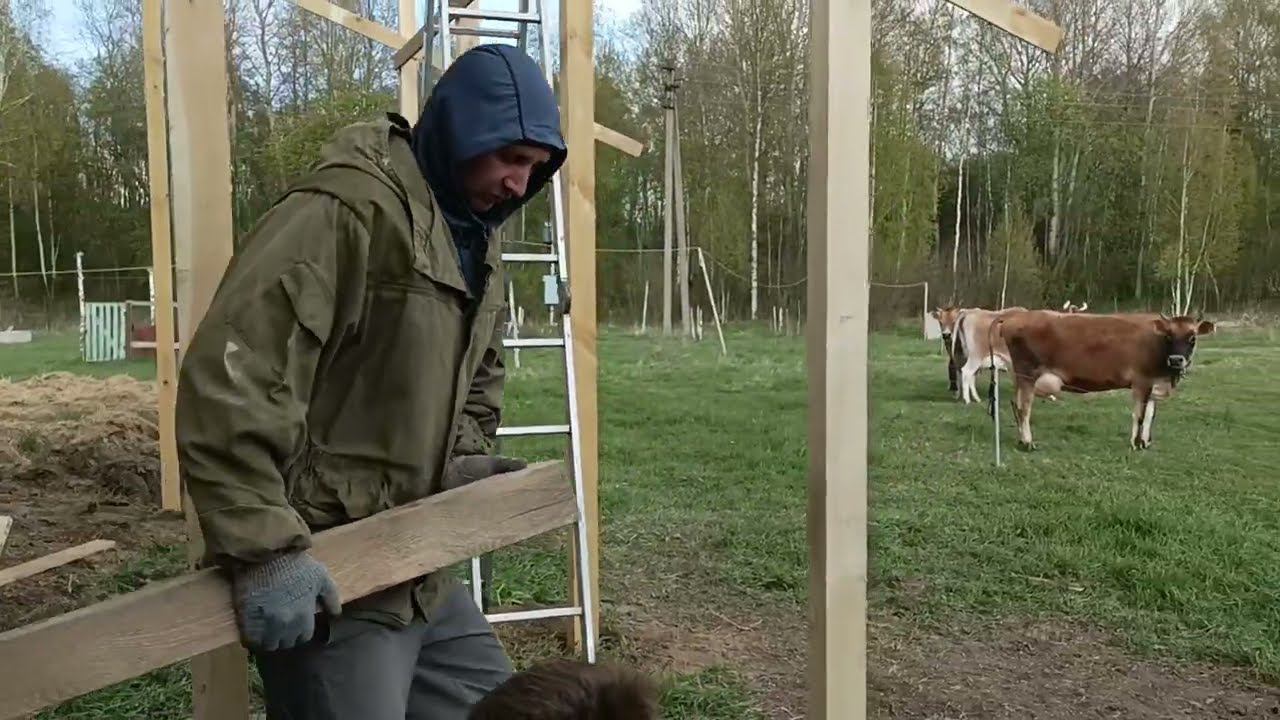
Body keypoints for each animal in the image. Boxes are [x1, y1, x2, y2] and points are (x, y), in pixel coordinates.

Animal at [997, 310, 1215, 450]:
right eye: (1169, 336)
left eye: (1193, 337)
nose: (1176, 359)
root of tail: (1012, 318)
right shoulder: (1142, 380)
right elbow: (1140, 415)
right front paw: (1135, 443)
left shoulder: (1154, 383)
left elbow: (1150, 415)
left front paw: (1145, 442)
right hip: (1027, 373)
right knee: (1024, 408)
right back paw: (1028, 442)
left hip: (1020, 376)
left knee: (1016, 405)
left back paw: (1021, 440)